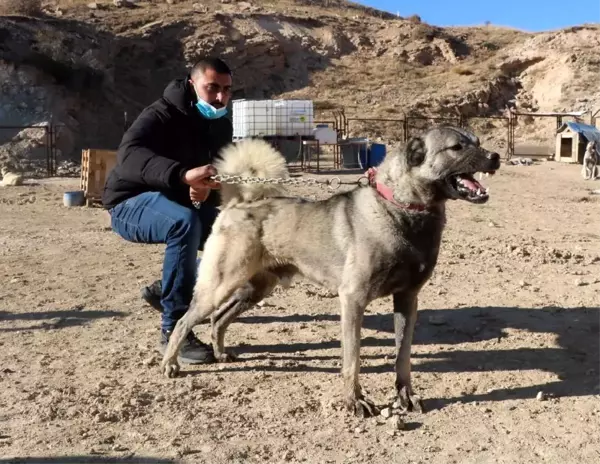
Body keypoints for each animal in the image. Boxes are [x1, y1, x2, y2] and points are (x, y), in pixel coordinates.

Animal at [159, 127, 502, 416]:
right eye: (457, 147)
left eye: (476, 140)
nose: (495, 157)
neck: (401, 209)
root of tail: (239, 203)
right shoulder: (352, 300)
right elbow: (353, 359)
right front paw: (355, 401)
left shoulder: (407, 300)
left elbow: (402, 357)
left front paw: (405, 396)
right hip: (221, 283)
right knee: (183, 321)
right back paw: (170, 364)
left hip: (255, 289)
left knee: (219, 319)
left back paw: (220, 353)